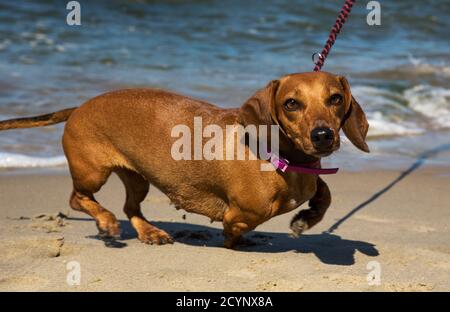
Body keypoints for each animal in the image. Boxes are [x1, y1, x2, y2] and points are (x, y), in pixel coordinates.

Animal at [0, 72, 370, 247]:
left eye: (335, 99)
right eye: (292, 103)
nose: (323, 136)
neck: (284, 161)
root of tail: (78, 107)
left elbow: (323, 193)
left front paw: (306, 218)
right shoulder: (241, 214)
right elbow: (234, 228)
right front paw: (237, 241)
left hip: (138, 178)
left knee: (130, 207)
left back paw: (149, 232)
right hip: (93, 173)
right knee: (78, 198)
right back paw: (105, 221)